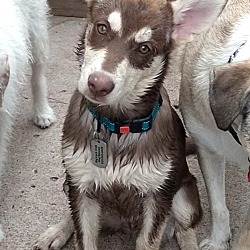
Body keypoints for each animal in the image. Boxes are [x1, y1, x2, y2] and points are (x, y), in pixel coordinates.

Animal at [32, 0, 225, 250]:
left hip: (183, 198)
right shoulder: (82, 187)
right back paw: (56, 232)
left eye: (144, 48)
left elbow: (149, 241)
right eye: (102, 28)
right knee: (72, 216)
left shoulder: (157, 195)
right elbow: (83, 236)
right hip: (71, 184)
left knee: (184, 229)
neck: (117, 125)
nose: (98, 85)